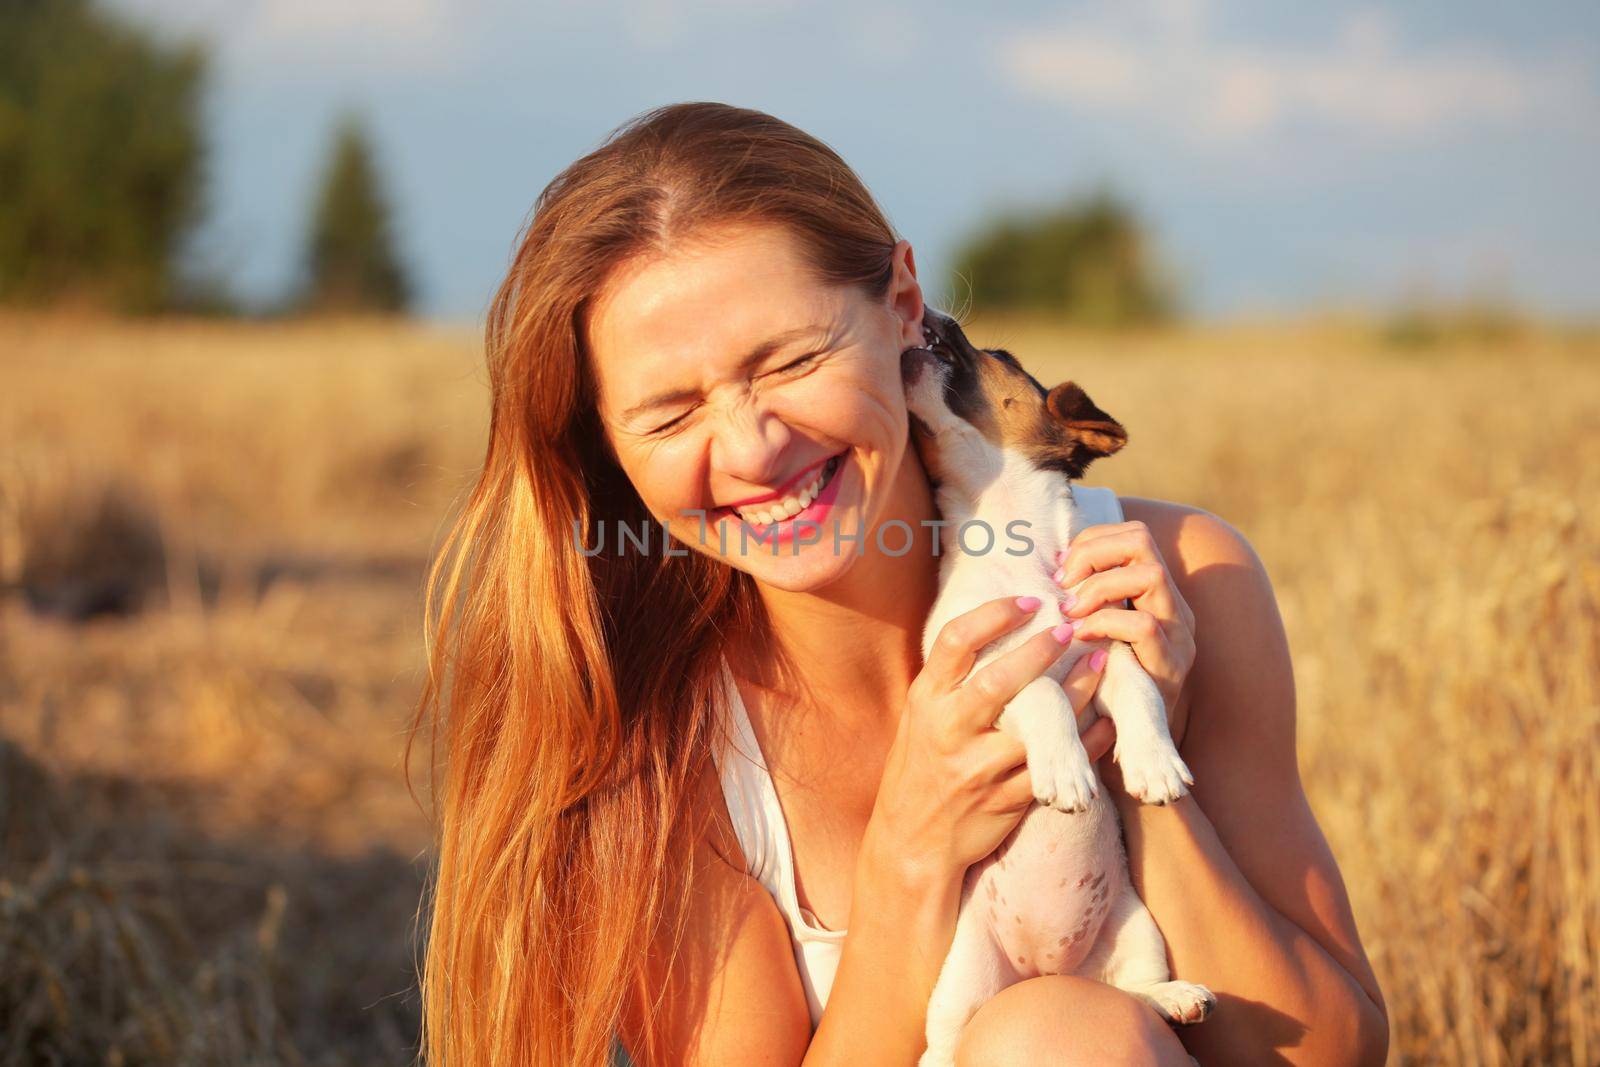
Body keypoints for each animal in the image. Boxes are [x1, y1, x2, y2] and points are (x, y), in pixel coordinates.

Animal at [902, 303, 1209, 1062]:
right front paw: (1067, 772)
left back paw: (1174, 997)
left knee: (1131, 992)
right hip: (964, 971)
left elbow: (1140, 687)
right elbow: (1042, 693)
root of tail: (1044, 967)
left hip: (1137, 925)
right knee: (946, 1039)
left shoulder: (1108, 645)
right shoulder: (982, 677)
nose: (932, 311)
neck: (1011, 539)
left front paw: (1155, 765)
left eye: (1003, 355)